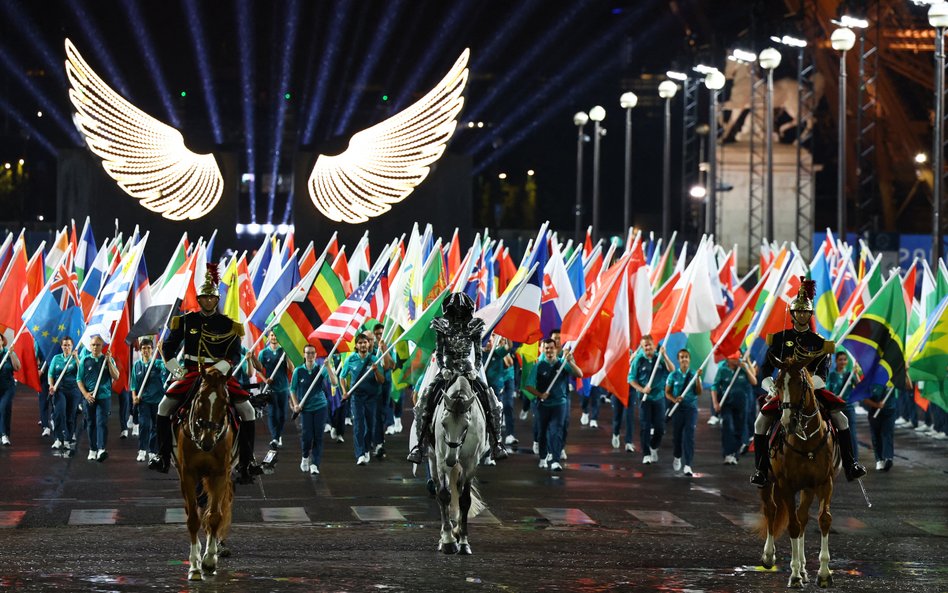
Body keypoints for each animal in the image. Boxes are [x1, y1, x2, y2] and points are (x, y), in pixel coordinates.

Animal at [178, 372, 237, 580]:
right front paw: (194, 566)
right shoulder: (188, 474)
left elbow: (215, 517)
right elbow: (193, 519)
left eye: (225, 401)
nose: (207, 442)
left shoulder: (219, 474)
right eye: (200, 399)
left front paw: (210, 560)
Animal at [432, 374, 488, 556]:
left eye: (466, 426)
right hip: (432, 459)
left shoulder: (471, 463)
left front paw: (463, 542)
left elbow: (464, 500)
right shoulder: (441, 460)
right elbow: (444, 495)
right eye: (443, 424)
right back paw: (445, 536)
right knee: (439, 491)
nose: (451, 460)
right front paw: (448, 541)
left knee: (458, 486)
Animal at [760, 352, 840, 588]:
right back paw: (769, 556)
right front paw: (794, 574)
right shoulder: (786, 485)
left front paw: (823, 573)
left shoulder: (824, 483)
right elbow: (793, 525)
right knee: (771, 509)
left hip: (808, 488)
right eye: (778, 384)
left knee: (803, 516)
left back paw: (804, 568)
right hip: (767, 481)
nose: (789, 421)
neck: (806, 442)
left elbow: (823, 519)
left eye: (800, 383)